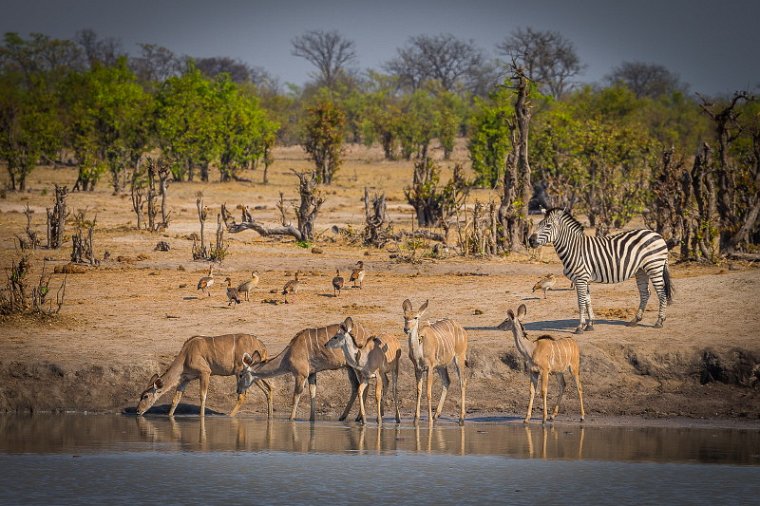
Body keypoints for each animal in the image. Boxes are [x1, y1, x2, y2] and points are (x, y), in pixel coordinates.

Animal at [528, 208, 676, 334]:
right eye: (539, 224)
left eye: (548, 225)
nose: (530, 240)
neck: (574, 249)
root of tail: (657, 235)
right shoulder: (584, 280)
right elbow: (587, 301)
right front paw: (590, 325)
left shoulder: (581, 279)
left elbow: (581, 302)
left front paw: (580, 327)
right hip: (641, 270)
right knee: (645, 293)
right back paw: (635, 320)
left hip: (654, 266)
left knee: (661, 293)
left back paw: (659, 321)